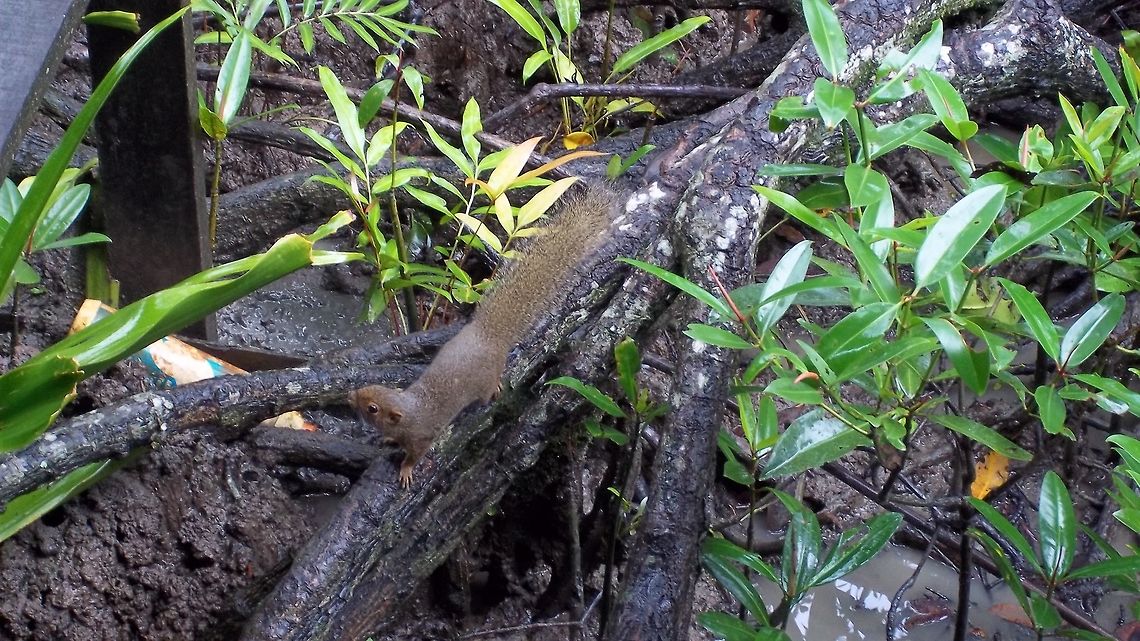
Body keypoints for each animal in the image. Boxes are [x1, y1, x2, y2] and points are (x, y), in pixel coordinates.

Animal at [347, 182, 618, 487]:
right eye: (370, 390)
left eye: (372, 408)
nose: (350, 396)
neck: (412, 410)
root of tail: (489, 335)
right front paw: (388, 440)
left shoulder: (423, 436)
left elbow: (416, 455)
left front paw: (406, 470)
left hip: (486, 382)